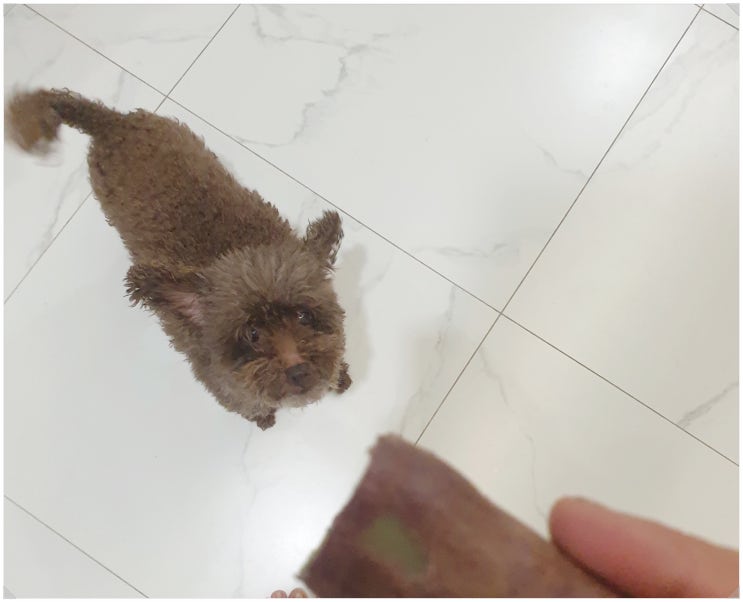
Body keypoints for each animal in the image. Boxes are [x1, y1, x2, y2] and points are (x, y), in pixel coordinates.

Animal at [6, 88, 352, 430]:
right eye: (252, 334)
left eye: (304, 316)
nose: (299, 370)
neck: (235, 247)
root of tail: (110, 123)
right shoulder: (220, 382)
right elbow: (245, 403)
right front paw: (263, 417)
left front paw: (340, 376)